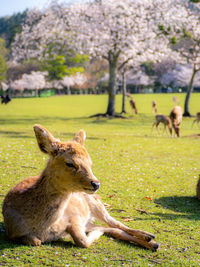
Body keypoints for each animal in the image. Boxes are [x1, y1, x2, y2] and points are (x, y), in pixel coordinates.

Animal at [1, 125, 158, 251]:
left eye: (90, 163)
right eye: (70, 163)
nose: (96, 184)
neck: (42, 227)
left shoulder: (74, 217)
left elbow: (82, 241)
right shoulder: (12, 232)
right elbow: (35, 241)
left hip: (96, 204)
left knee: (117, 224)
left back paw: (149, 237)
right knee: (113, 229)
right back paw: (153, 244)